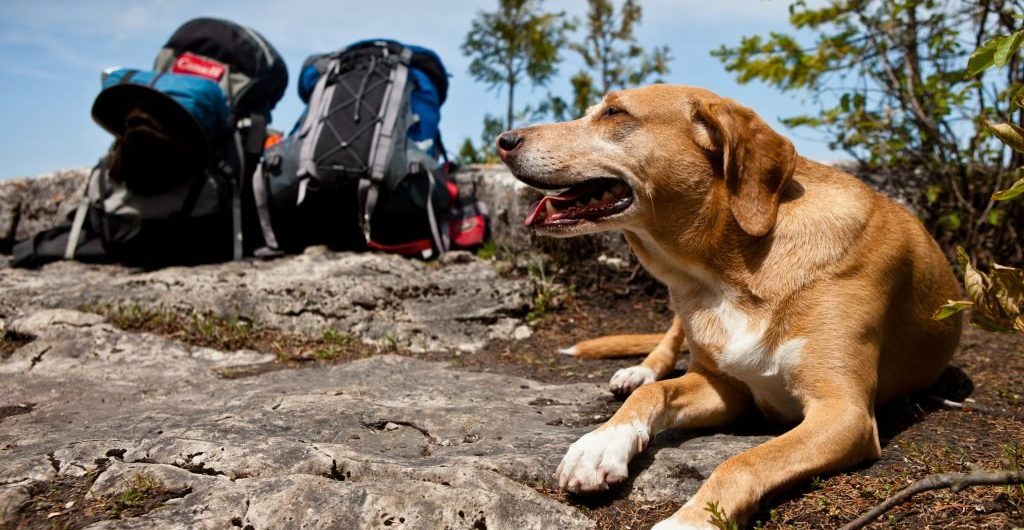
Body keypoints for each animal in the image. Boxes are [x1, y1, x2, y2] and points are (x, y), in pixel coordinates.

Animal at [495, 86, 958, 530]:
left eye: (614, 113)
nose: (504, 141)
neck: (727, 272)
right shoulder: (725, 387)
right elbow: (654, 392)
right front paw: (600, 443)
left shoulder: (843, 412)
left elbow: (746, 461)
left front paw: (690, 520)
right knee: (666, 345)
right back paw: (639, 368)